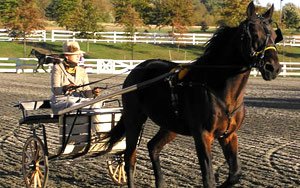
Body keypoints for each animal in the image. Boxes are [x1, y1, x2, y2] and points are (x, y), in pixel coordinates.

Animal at [102, 1, 282, 188]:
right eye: (254, 33)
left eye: (274, 35)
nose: (273, 67)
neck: (222, 92)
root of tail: (137, 69)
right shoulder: (202, 136)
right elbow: (208, 178)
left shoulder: (229, 135)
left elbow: (235, 174)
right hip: (134, 120)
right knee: (129, 159)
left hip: (170, 125)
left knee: (153, 147)